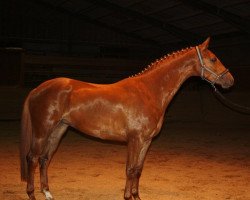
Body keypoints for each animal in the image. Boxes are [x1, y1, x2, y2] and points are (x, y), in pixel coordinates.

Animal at [20, 38, 234, 200]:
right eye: (213, 59)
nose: (230, 80)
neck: (149, 91)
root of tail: (38, 88)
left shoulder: (146, 141)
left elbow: (138, 169)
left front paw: (136, 196)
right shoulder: (135, 139)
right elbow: (130, 169)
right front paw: (128, 196)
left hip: (58, 130)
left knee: (45, 158)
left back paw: (47, 193)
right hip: (42, 131)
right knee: (32, 157)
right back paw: (32, 194)